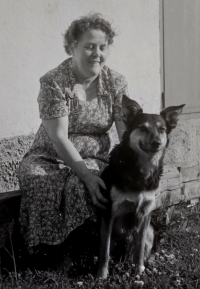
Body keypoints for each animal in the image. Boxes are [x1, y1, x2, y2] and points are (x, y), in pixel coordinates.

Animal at [96, 95, 185, 278]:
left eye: (162, 129)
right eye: (142, 128)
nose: (157, 143)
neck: (140, 170)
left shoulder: (145, 213)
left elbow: (140, 247)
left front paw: (139, 270)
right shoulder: (108, 212)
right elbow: (104, 250)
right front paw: (101, 275)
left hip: (151, 228)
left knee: (144, 248)